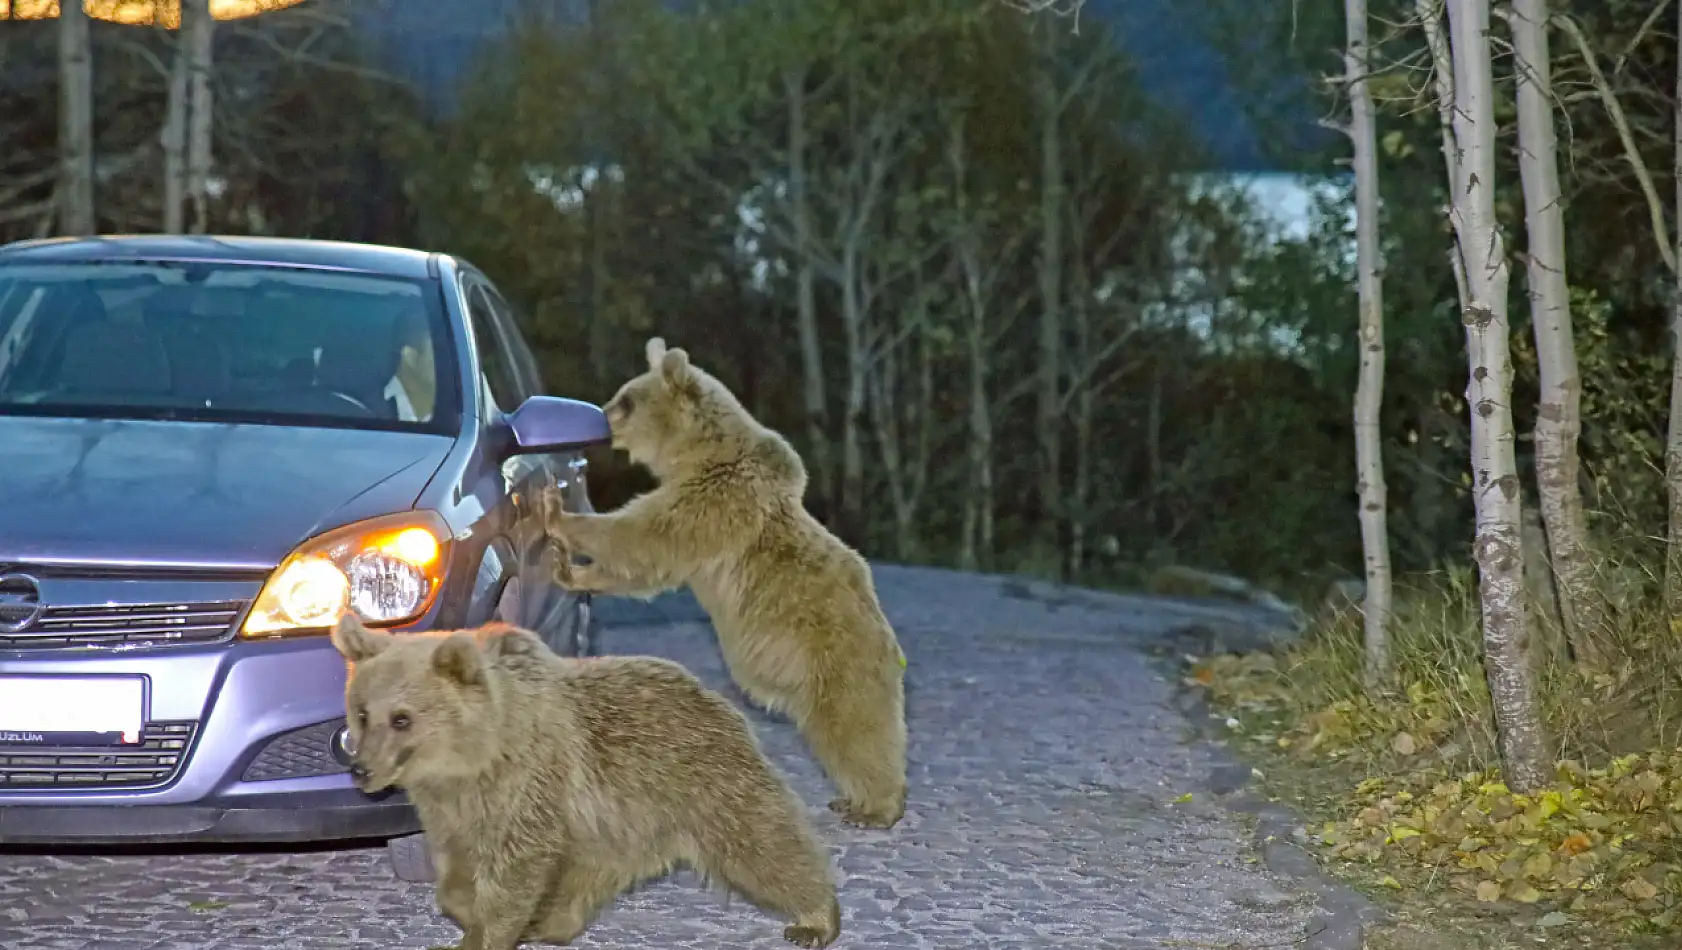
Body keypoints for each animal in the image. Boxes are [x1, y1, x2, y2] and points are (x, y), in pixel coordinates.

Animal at [331, 612, 841, 941]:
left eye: (401, 718)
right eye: (362, 712)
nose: (360, 768)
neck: (473, 758)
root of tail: (716, 696)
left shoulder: (529, 786)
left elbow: (515, 870)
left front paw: (487, 929)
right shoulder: (451, 808)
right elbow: (456, 870)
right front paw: (468, 909)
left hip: (701, 781)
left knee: (762, 846)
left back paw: (816, 917)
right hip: (614, 824)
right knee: (586, 878)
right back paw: (550, 924)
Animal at [541, 336, 908, 827]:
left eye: (626, 399)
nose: (599, 419)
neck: (695, 454)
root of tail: (889, 645)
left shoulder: (712, 502)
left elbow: (641, 537)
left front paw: (558, 516)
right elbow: (643, 566)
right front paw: (573, 570)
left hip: (837, 659)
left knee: (854, 729)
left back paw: (875, 807)